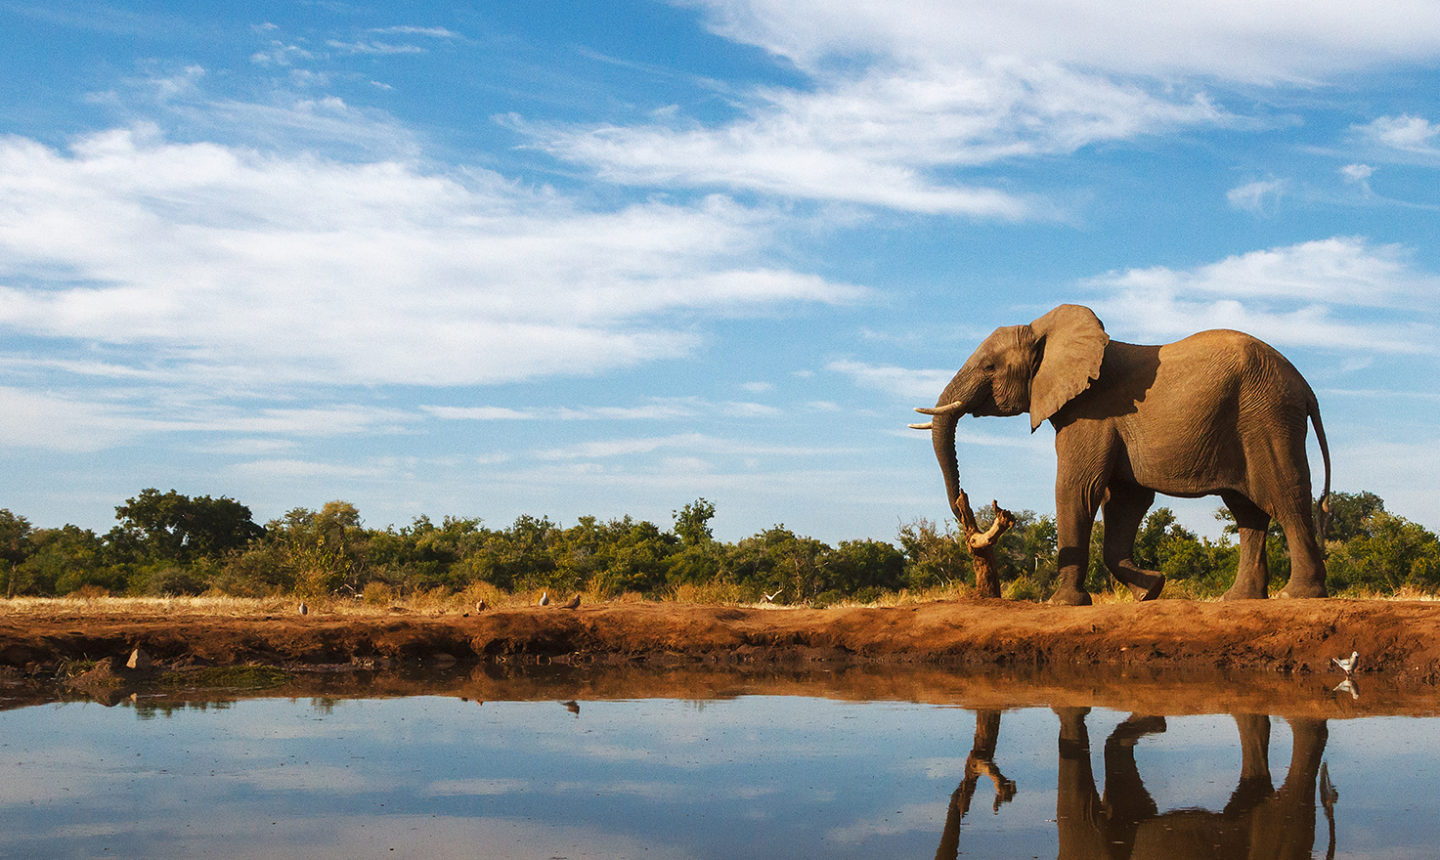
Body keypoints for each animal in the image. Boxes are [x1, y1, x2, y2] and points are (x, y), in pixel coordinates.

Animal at [915, 305, 1330, 599]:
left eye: (989, 366)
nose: (966, 503)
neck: (1045, 329)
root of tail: (1306, 387)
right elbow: (1125, 500)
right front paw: (1150, 591)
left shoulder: (1091, 412)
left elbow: (1077, 489)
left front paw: (1063, 603)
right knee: (1248, 511)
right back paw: (1239, 599)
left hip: (1267, 418)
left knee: (1284, 496)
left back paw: (1295, 595)